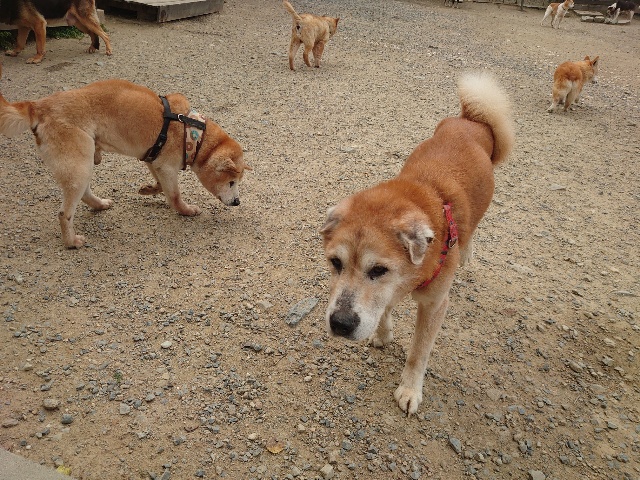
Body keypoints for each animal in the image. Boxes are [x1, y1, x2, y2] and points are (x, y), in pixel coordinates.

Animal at [0, 79, 251, 248]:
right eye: (231, 182)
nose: (237, 202)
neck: (192, 134)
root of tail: (38, 106)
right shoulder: (168, 167)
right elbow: (175, 195)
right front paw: (186, 211)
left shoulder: (154, 160)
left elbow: (160, 185)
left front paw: (149, 189)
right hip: (79, 162)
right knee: (65, 213)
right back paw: (71, 241)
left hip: (82, 163)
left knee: (84, 194)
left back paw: (100, 205)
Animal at [320, 72, 514, 415]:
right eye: (335, 263)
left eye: (378, 269)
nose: (340, 324)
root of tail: (472, 119)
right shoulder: (390, 290)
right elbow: (383, 309)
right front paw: (383, 333)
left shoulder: (435, 305)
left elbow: (418, 352)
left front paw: (410, 389)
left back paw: (466, 252)